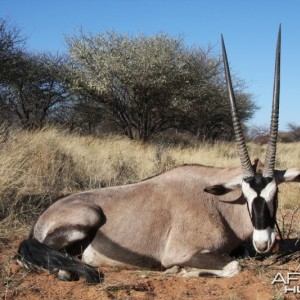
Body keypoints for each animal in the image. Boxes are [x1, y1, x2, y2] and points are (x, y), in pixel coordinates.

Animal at [17, 26, 300, 284]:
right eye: (248, 195)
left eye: (275, 194)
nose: (263, 243)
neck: (221, 204)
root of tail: (41, 219)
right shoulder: (183, 251)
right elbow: (233, 266)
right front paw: (178, 271)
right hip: (88, 217)